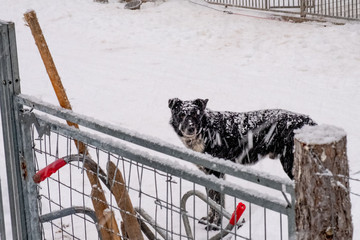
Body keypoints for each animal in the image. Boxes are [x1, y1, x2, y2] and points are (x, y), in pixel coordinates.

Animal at [168, 98, 316, 230]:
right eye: (181, 115)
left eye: (195, 114)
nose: (191, 128)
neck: (206, 130)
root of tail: (309, 121)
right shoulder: (208, 173)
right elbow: (211, 201)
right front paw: (210, 220)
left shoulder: (216, 173)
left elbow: (217, 201)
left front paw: (215, 225)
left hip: (290, 166)